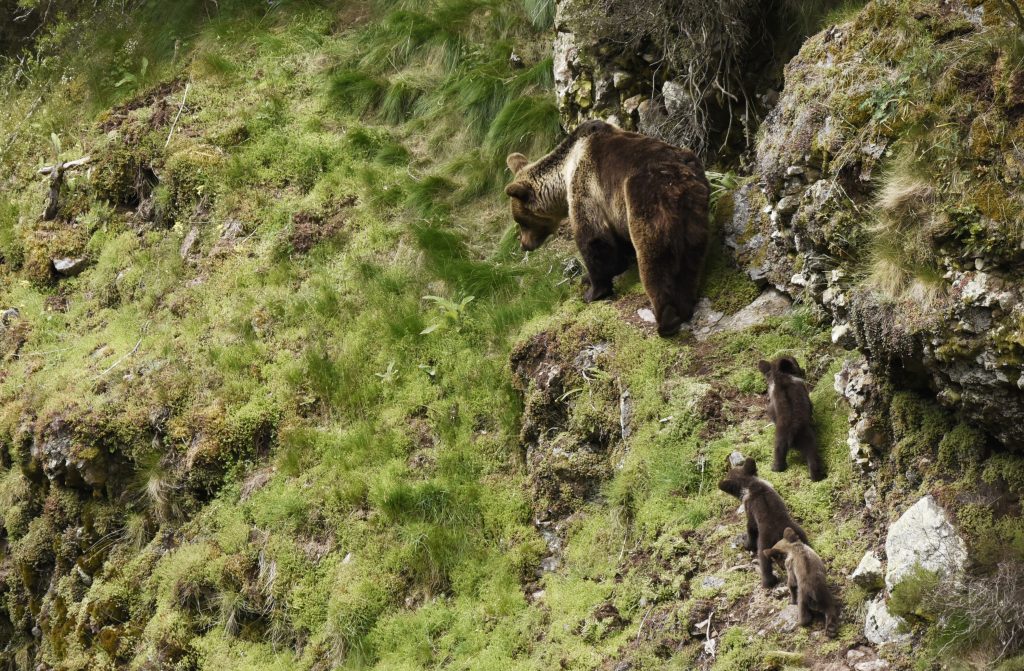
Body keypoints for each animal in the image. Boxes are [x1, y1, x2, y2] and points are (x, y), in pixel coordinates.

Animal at [505, 119, 712, 336]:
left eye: (521, 221)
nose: (524, 245)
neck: (564, 173)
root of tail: (682, 173)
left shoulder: (585, 188)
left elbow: (593, 239)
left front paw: (593, 290)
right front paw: (590, 277)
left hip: (647, 199)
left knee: (655, 254)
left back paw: (666, 318)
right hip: (694, 212)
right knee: (691, 254)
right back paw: (684, 307)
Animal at [720, 456, 806, 590]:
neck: (750, 484)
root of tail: (780, 534)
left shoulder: (750, 512)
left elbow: (750, 528)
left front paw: (747, 544)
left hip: (764, 542)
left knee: (765, 563)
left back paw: (767, 582)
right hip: (796, 529)